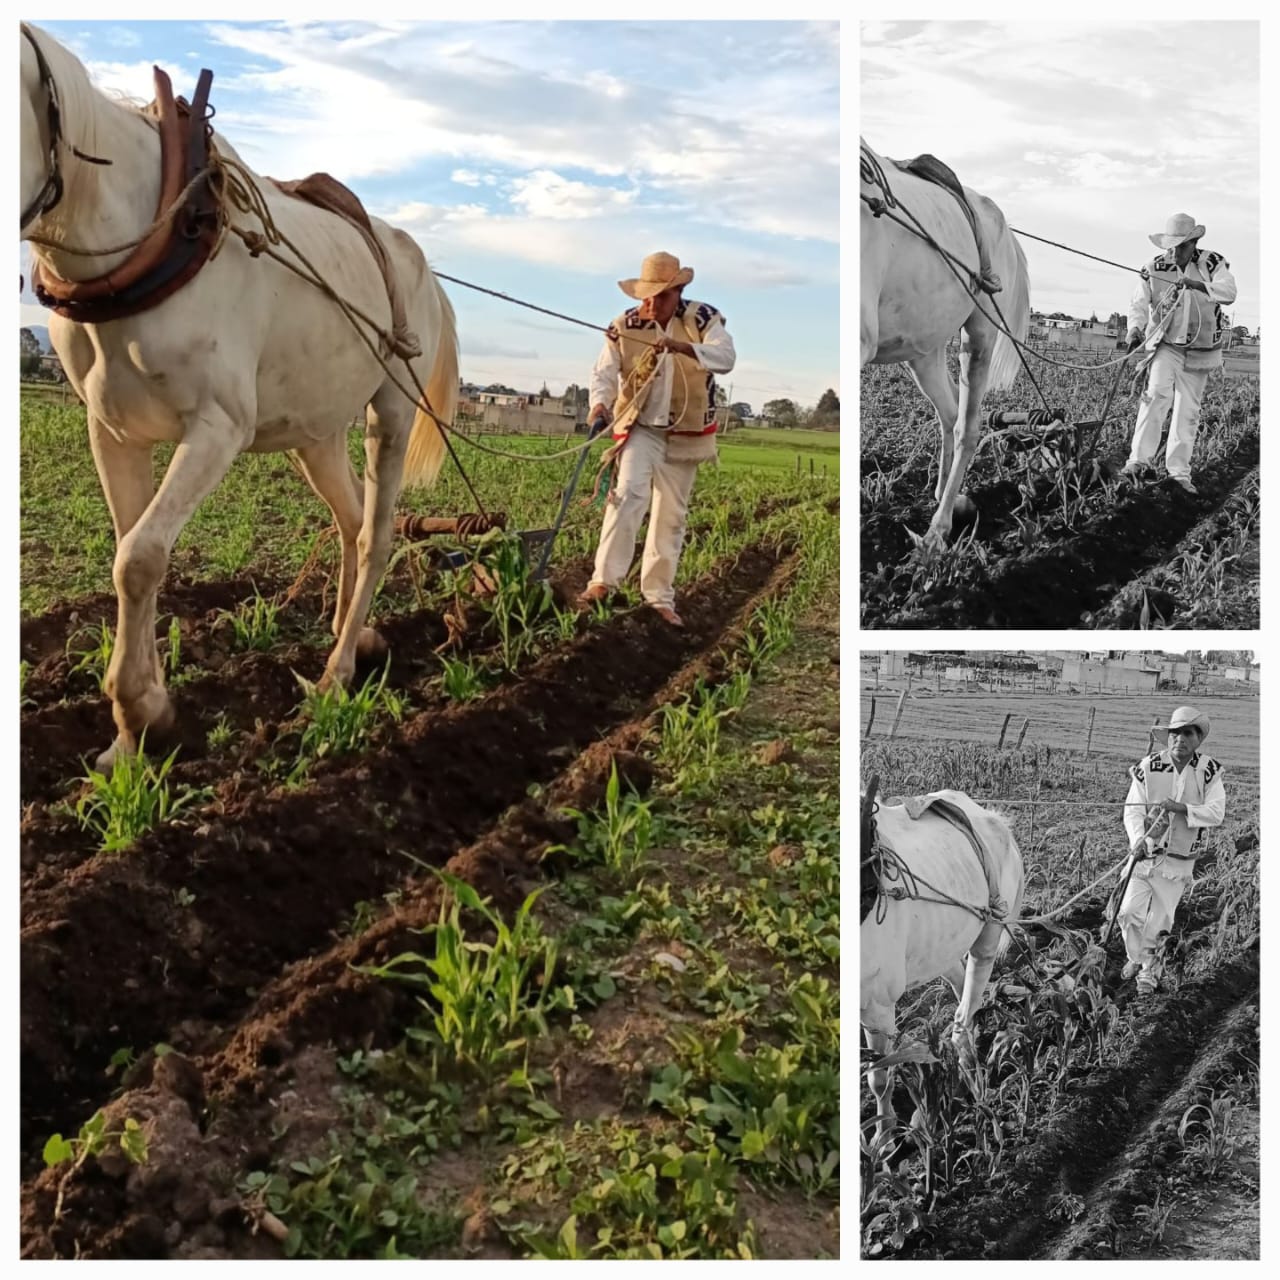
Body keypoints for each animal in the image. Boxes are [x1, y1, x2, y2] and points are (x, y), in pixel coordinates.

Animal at [21, 24, 460, 762]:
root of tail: (420, 263)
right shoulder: (112, 430)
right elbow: (131, 552)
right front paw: (131, 731)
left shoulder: (217, 428)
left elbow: (139, 559)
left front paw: (141, 711)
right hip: (316, 434)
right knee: (349, 521)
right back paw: (359, 634)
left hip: (393, 411)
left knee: (377, 534)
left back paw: (336, 673)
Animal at [860, 141, 1029, 550]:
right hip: (924, 347)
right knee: (950, 413)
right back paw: (948, 498)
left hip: (980, 333)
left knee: (968, 426)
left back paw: (938, 530)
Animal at [860, 783, 1029, 1146]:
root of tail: (992, 818)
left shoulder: (877, 1004)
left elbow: (880, 1077)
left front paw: (883, 1139)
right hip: (944, 947)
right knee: (959, 983)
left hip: (988, 936)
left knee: (966, 1004)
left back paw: (966, 1068)